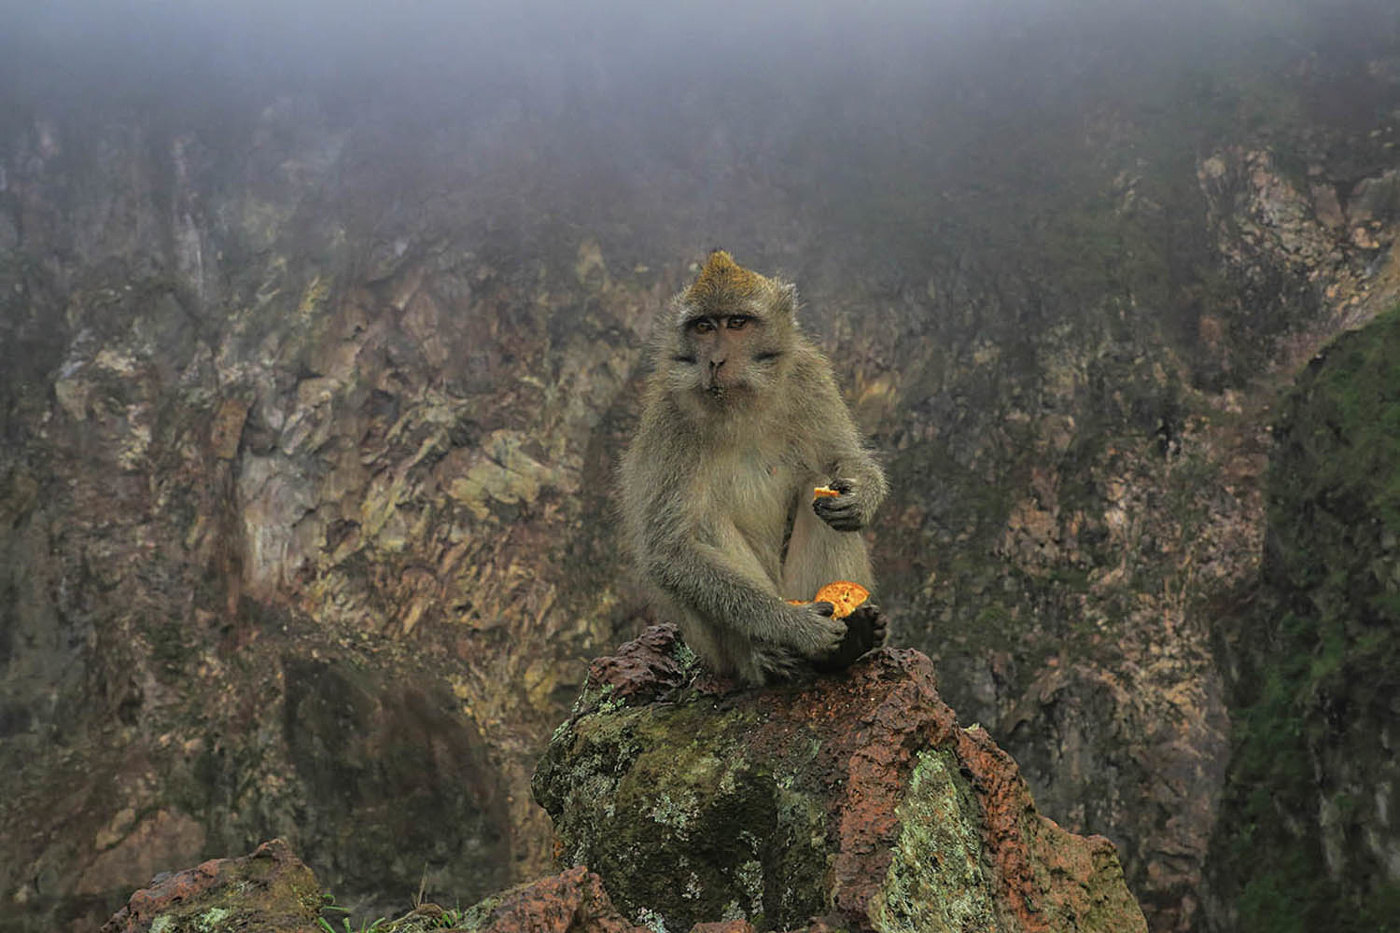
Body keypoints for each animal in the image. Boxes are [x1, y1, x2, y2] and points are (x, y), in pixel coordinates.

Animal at [624, 250, 884, 680]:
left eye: (737, 323)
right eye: (703, 326)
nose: (715, 360)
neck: (741, 403)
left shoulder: (808, 375)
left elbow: (840, 457)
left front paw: (862, 496)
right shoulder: (672, 417)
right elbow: (671, 551)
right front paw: (797, 627)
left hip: (795, 586)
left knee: (822, 492)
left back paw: (851, 640)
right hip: (720, 649)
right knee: (703, 521)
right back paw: (769, 655)